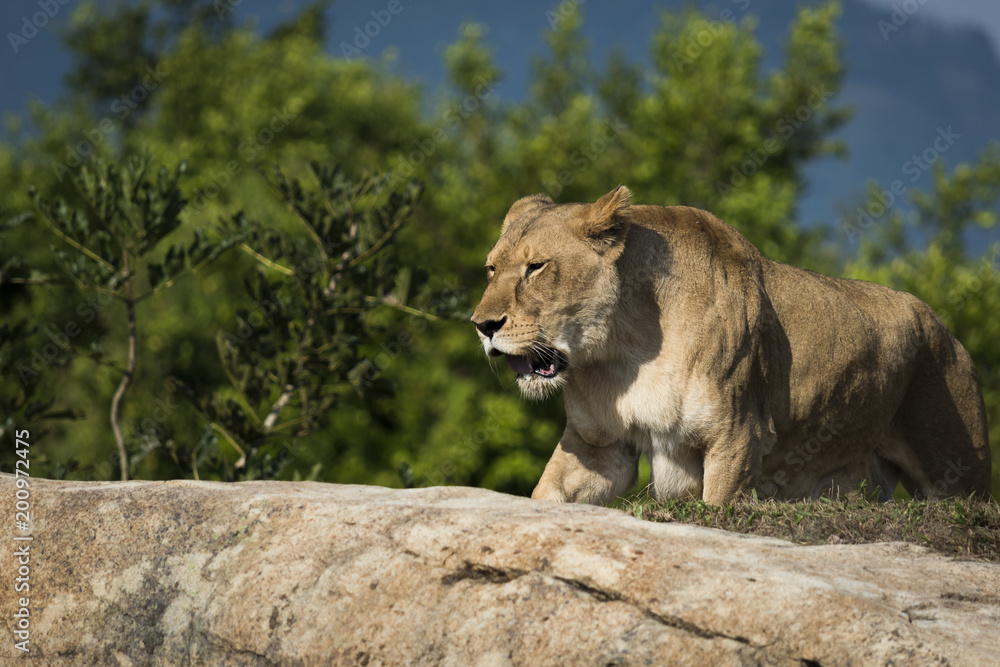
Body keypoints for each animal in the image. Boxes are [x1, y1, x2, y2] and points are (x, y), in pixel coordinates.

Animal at [471, 186, 993, 505]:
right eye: (492, 268)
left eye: (537, 267)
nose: (482, 325)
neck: (623, 352)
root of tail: (947, 330)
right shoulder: (598, 445)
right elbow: (548, 493)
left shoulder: (737, 435)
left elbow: (719, 501)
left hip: (957, 468)